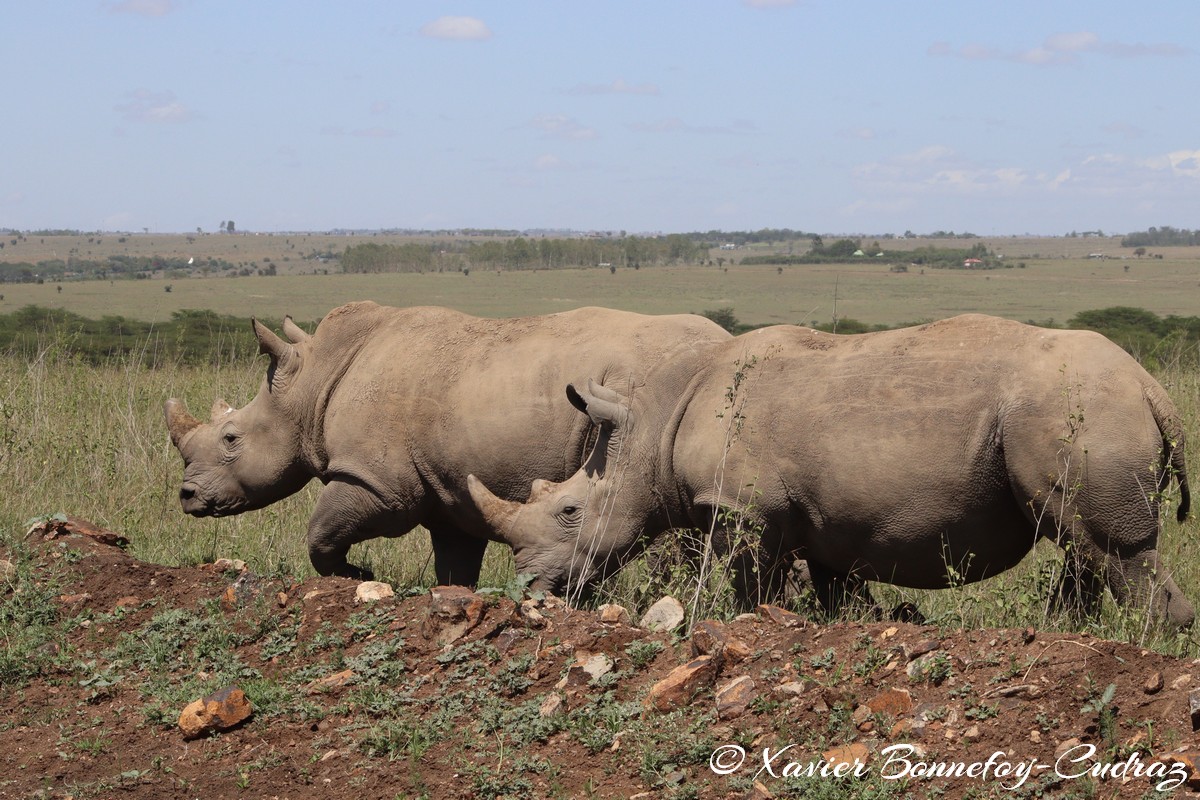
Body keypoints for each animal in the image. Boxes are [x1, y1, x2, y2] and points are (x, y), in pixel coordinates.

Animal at [164, 299, 724, 582]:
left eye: (231, 438)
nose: (187, 496)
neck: (312, 385)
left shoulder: (377, 481)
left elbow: (321, 533)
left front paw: (356, 575)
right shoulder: (450, 494)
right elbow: (455, 564)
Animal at [472, 316, 1195, 628]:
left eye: (569, 511)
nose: (529, 589)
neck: (652, 426)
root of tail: (1152, 389)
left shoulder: (741, 507)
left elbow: (747, 585)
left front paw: (749, 627)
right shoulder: (824, 524)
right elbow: (837, 594)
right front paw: (862, 627)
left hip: (1081, 411)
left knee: (1107, 546)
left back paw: (1146, 639)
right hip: (1079, 411)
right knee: (1079, 541)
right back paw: (1068, 633)